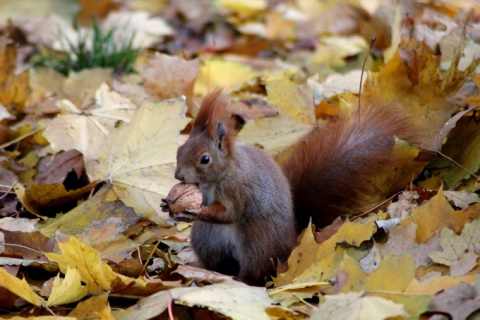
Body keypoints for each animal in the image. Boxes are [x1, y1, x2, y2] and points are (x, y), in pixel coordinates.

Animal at [175, 89, 420, 284]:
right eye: (180, 149)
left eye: (205, 159)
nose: (178, 176)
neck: (221, 175)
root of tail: (293, 234)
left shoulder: (238, 189)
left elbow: (228, 212)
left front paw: (197, 210)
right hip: (207, 239)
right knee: (217, 261)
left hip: (258, 241)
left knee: (256, 268)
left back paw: (242, 279)